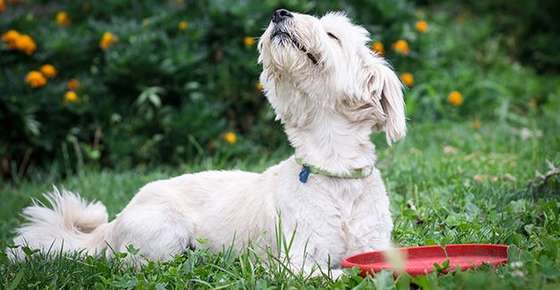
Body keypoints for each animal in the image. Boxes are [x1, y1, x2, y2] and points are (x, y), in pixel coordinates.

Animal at [8, 9, 404, 276]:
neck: (334, 173)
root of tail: (114, 222)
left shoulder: (375, 246)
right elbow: (335, 271)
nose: (279, 13)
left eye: (332, 34)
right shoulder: (295, 263)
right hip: (165, 234)